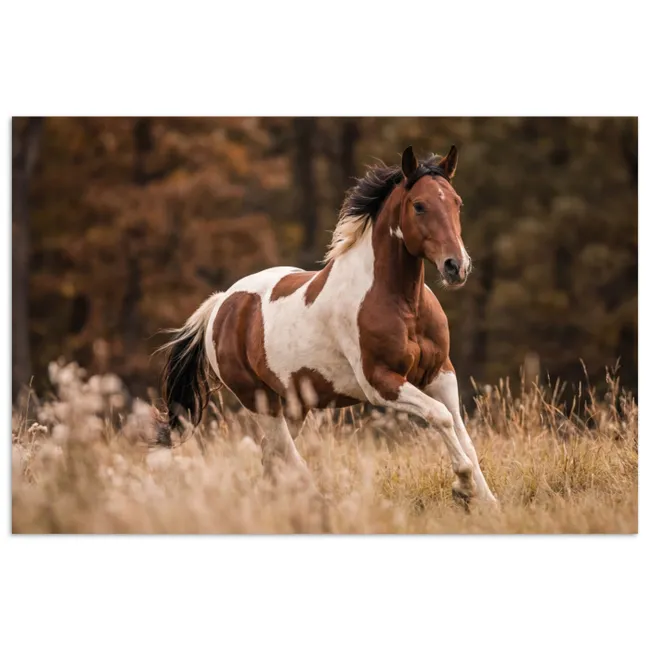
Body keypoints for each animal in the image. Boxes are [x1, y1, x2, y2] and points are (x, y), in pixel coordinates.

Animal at [157, 145, 498, 506]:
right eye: (419, 205)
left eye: (457, 202)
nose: (456, 266)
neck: (404, 303)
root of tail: (222, 303)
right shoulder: (380, 382)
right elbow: (440, 417)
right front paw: (463, 486)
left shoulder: (440, 373)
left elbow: (461, 431)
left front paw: (487, 501)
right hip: (259, 400)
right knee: (285, 454)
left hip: (294, 404)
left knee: (272, 453)